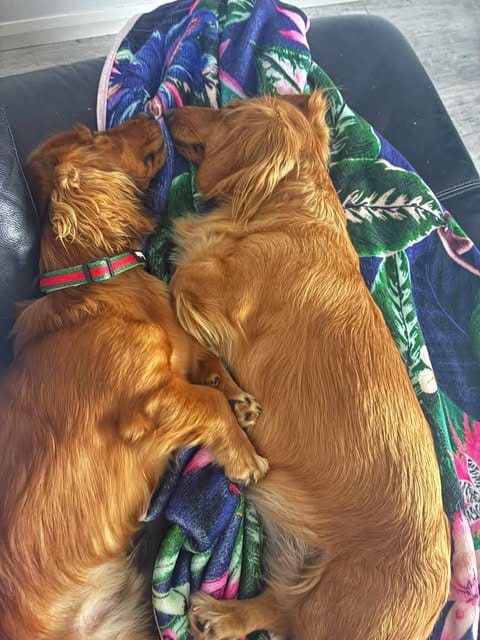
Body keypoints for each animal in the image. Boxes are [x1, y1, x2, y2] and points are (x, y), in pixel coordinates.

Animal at [0, 115, 267, 640]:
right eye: (92, 137)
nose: (151, 113)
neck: (102, 282)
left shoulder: (181, 354)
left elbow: (207, 363)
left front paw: (237, 399)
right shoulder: (145, 400)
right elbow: (205, 402)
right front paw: (244, 456)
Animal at [165, 92, 451, 640]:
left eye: (228, 111)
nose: (167, 112)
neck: (282, 208)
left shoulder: (212, 295)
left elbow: (179, 280)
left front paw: (229, 392)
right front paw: (232, 396)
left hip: (334, 606)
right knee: (276, 608)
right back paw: (219, 615)